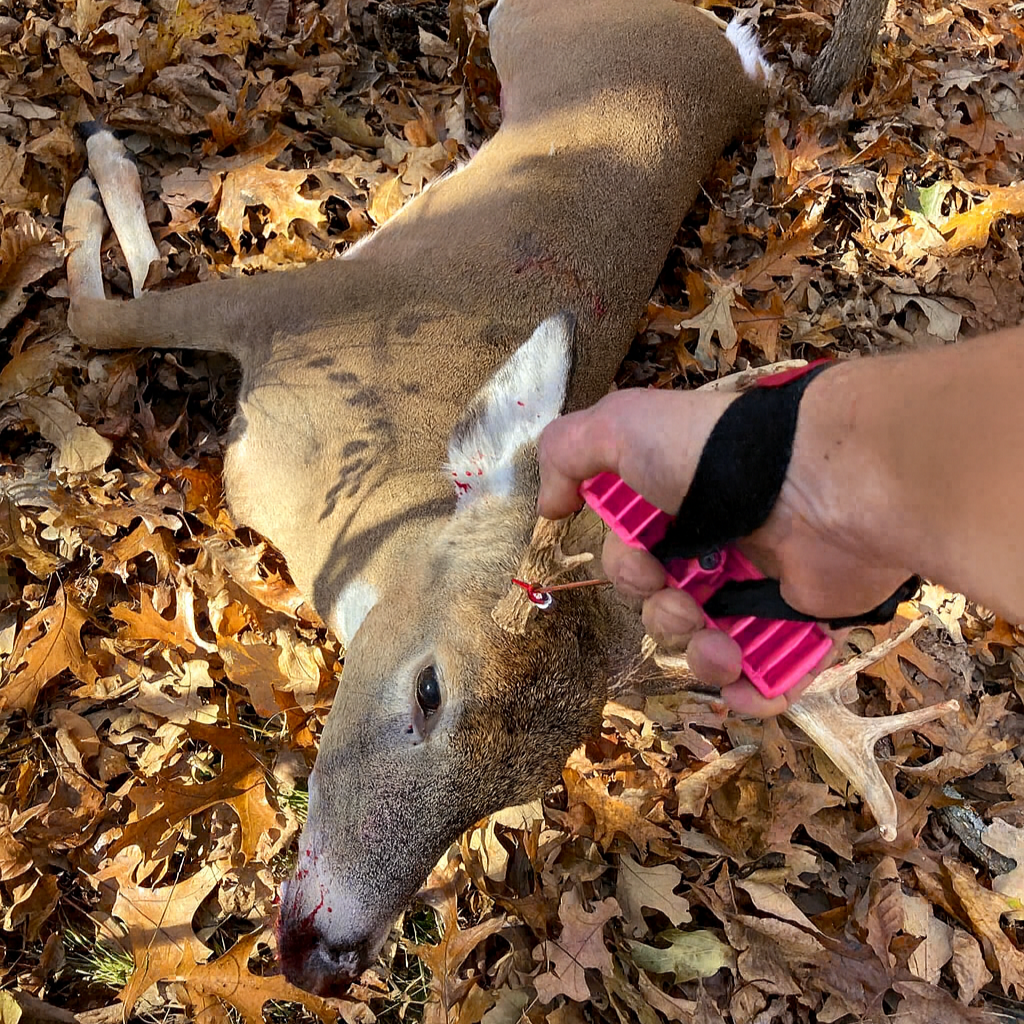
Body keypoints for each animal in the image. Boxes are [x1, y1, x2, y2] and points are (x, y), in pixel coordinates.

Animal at [62, 0, 959, 998]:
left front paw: (89, 176)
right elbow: (99, 314)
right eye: (429, 690)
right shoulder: (296, 302)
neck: (346, 498)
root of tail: (739, 64)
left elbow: (116, 299)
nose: (327, 959)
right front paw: (92, 171)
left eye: (515, 792)